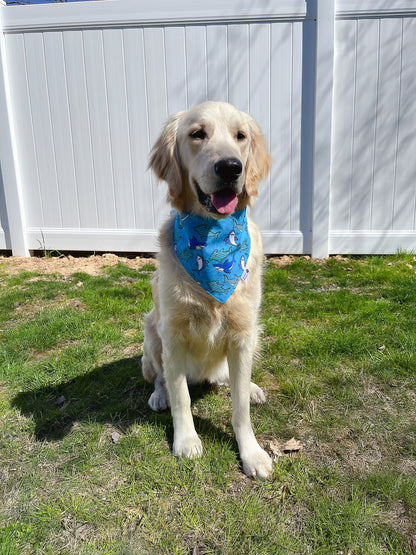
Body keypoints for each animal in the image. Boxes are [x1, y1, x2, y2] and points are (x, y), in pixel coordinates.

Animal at [142, 101, 272, 478]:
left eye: (240, 136)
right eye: (197, 134)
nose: (231, 167)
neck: (213, 235)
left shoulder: (242, 333)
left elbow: (240, 407)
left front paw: (251, 453)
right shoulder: (172, 334)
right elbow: (181, 397)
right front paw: (185, 440)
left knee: (229, 378)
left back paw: (251, 387)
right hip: (151, 333)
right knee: (159, 377)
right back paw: (158, 395)